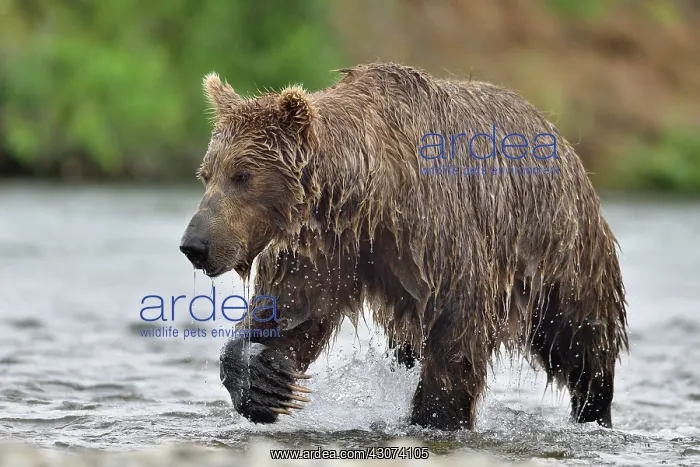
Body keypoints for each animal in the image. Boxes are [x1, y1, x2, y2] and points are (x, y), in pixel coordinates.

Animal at [179, 62, 628, 431]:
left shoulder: (435, 235)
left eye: (242, 175)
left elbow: (457, 332)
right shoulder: (323, 245)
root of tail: (560, 137)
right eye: (207, 174)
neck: (365, 197)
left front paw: (434, 416)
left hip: (560, 251)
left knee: (582, 338)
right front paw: (265, 378)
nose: (195, 244)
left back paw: (595, 410)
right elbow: (293, 313)